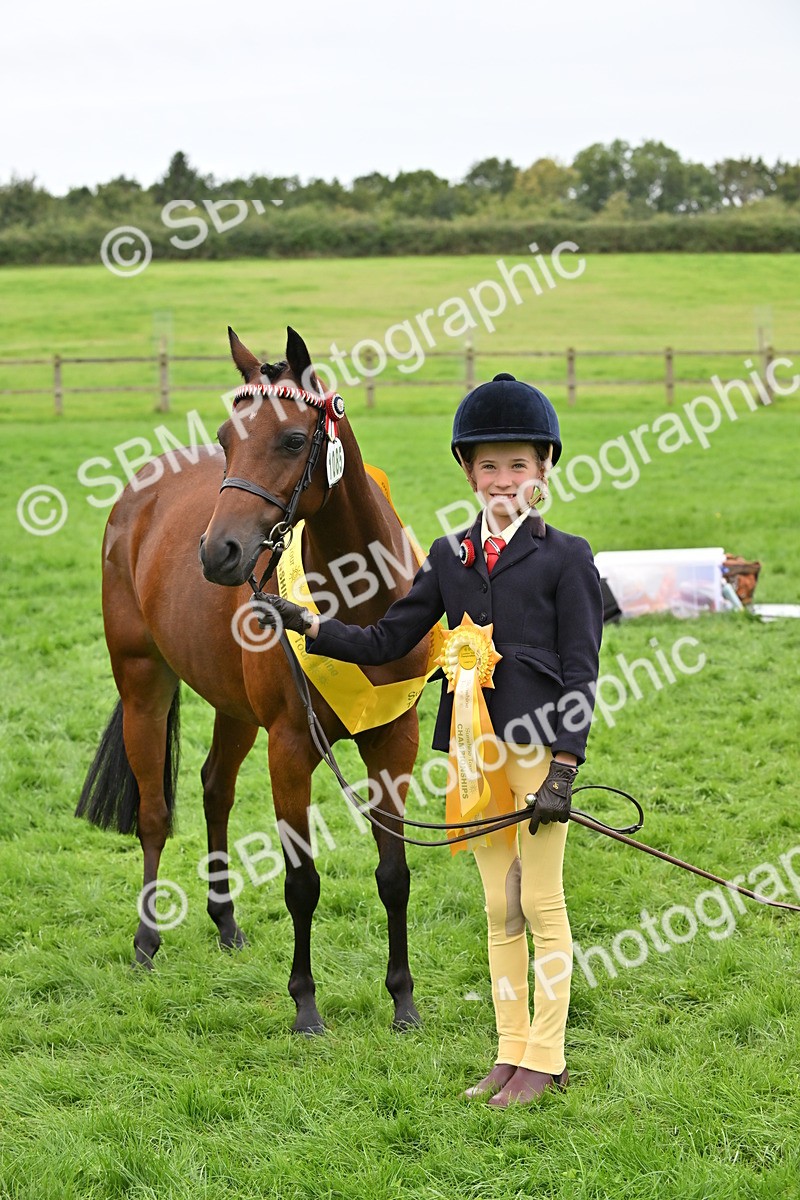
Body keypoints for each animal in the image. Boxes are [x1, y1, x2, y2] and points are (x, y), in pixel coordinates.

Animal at [77, 326, 432, 1033]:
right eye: (224, 437)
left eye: (294, 440)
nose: (220, 553)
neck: (359, 607)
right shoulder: (291, 749)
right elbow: (302, 882)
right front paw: (306, 1006)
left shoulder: (392, 739)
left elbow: (394, 873)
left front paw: (402, 1000)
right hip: (143, 683)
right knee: (155, 815)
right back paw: (146, 942)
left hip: (234, 707)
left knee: (215, 786)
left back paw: (225, 922)